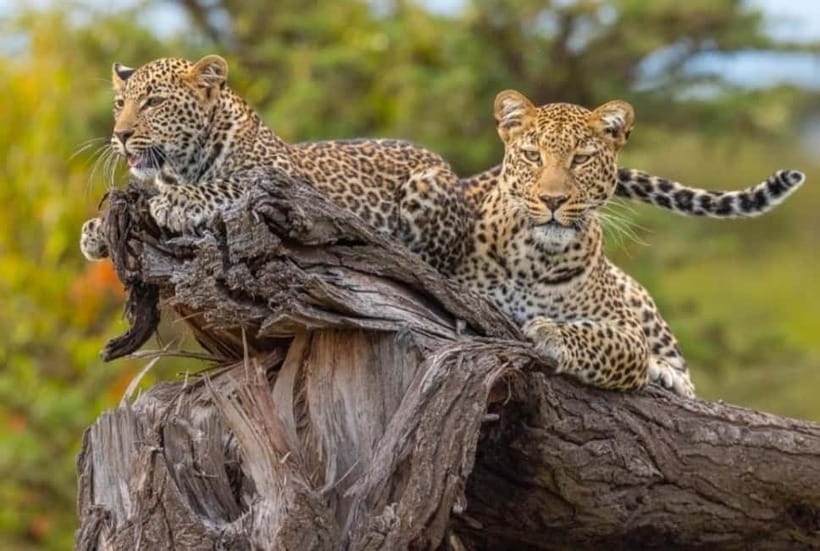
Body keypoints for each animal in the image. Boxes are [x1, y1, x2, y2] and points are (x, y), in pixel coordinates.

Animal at [80, 55, 804, 274]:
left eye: (152, 102)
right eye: (120, 101)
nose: (118, 133)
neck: (183, 160)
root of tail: (462, 175)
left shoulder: (270, 184)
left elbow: (218, 190)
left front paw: (174, 203)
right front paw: (95, 230)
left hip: (426, 192)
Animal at [453, 89, 807, 397]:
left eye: (581, 159)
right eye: (532, 156)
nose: (553, 200)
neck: (535, 260)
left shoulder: (628, 333)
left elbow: (598, 337)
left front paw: (551, 333)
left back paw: (666, 371)